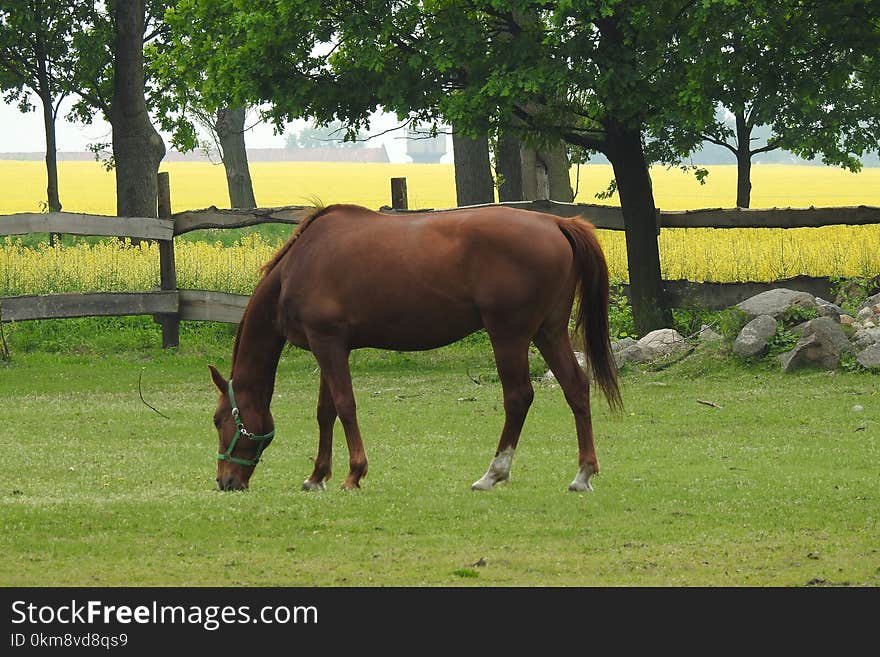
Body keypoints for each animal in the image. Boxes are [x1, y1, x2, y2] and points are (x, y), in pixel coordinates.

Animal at [208, 205, 620, 492]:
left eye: (217, 419)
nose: (226, 481)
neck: (301, 262)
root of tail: (555, 222)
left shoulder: (328, 345)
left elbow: (345, 406)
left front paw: (354, 474)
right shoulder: (329, 346)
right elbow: (326, 412)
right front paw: (317, 475)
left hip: (510, 336)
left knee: (519, 397)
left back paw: (493, 473)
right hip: (548, 333)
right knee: (576, 388)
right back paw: (582, 474)